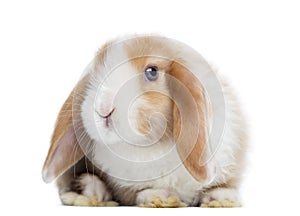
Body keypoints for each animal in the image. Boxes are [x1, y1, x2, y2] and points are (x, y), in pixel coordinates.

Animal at [42, 34, 248, 207]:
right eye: (95, 75)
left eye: (152, 72)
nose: (103, 109)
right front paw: (159, 197)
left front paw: (222, 198)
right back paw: (90, 192)